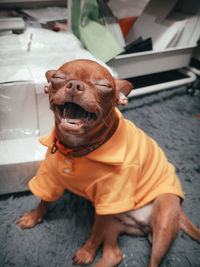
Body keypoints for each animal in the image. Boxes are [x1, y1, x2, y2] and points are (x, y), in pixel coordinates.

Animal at [17, 59, 200, 266]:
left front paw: (86, 252)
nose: (75, 85)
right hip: (113, 224)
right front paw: (33, 218)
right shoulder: (49, 178)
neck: (78, 151)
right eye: (58, 77)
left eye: (103, 86)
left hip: (161, 223)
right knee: (114, 255)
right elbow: (44, 200)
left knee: (150, 259)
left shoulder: (107, 202)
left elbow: (95, 233)